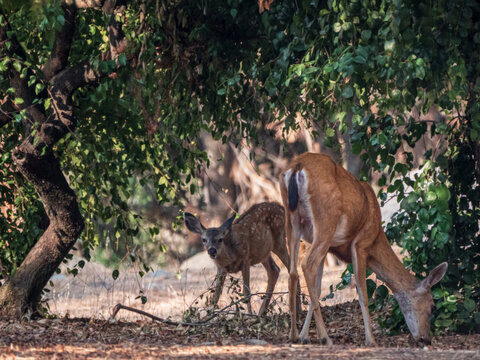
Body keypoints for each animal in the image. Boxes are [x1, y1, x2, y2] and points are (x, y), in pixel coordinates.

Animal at [280, 153, 448, 348]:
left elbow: (318, 287)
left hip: (292, 220)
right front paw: (371, 340)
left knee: (293, 272)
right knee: (307, 264)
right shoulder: (361, 244)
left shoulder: (325, 247)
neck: (377, 237)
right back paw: (325, 338)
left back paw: (293, 335)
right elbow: (362, 292)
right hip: (325, 221)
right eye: (432, 306)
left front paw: (304, 336)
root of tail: (298, 166)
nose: (426, 339)